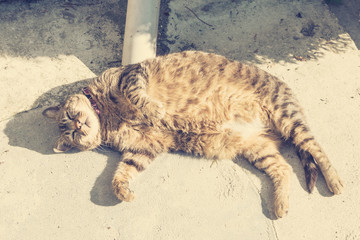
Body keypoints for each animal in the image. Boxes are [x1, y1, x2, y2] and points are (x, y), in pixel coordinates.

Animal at [42, 50, 344, 218]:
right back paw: (280, 205)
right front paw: (123, 192)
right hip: (257, 148)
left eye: (70, 118)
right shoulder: (144, 147)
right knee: (283, 168)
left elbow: (138, 96)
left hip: (286, 116)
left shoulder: (131, 74)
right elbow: (121, 174)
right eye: (71, 134)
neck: (106, 115)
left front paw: (155, 111)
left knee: (317, 149)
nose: (79, 127)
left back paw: (335, 181)